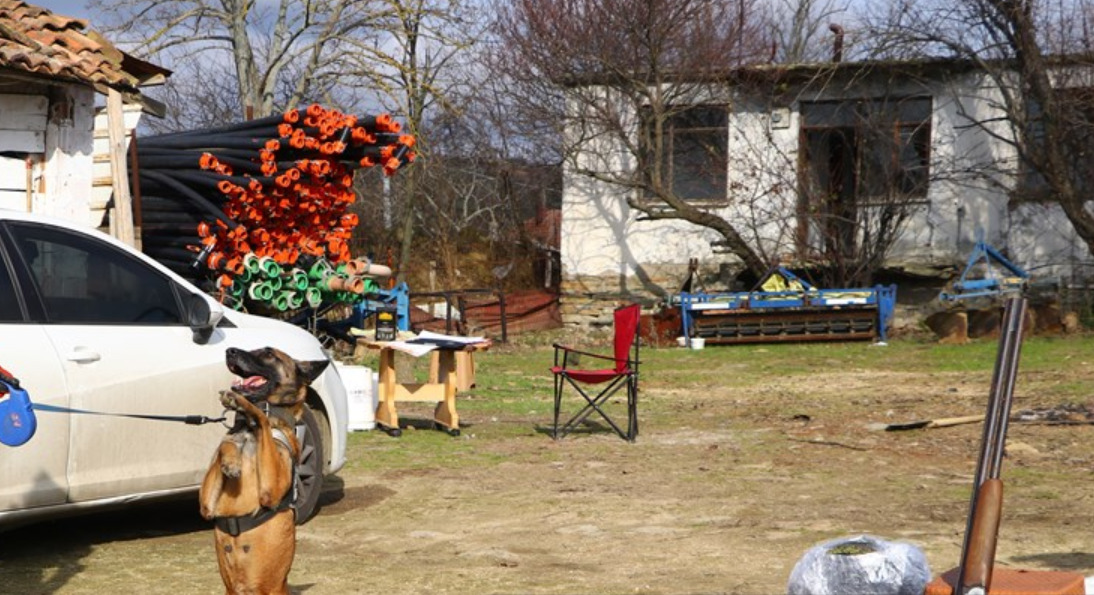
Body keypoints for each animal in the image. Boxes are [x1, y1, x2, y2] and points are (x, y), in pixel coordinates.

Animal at [200, 343, 328, 595]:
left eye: (269, 353)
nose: (229, 351)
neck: (249, 431)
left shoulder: (271, 487)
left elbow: (261, 415)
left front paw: (243, 404)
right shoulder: (206, 505)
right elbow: (226, 443)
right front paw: (231, 460)